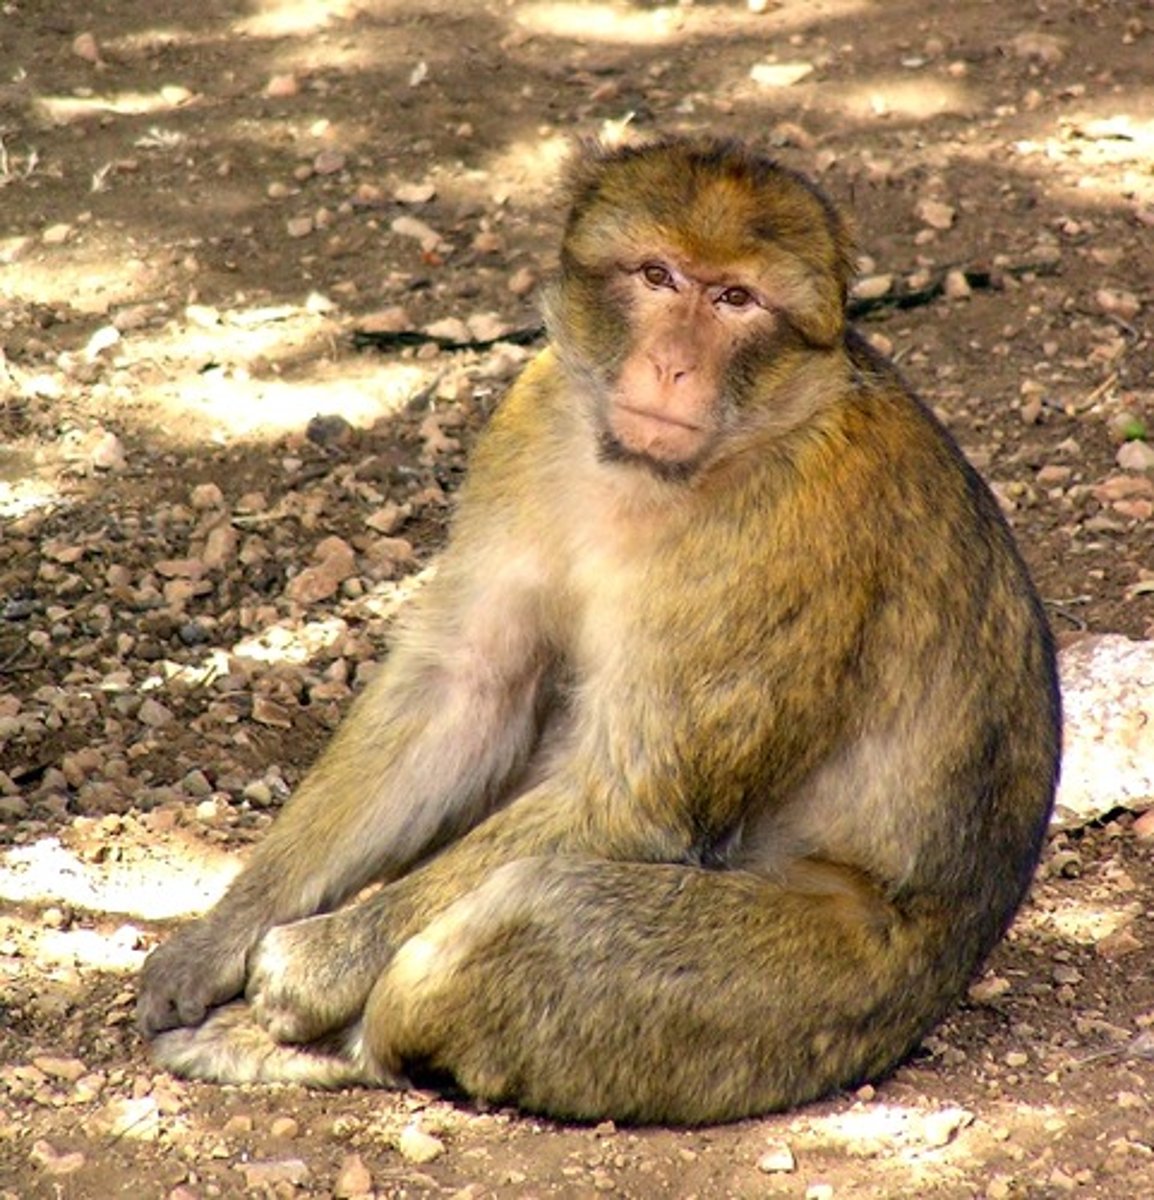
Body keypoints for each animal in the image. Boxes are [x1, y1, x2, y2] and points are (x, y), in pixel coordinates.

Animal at [136, 137, 1061, 1126]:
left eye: (735, 299)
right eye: (659, 277)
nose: (673, 367)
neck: (669, 473)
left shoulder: (797, 533)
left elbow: (631, 799)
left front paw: (316, 963)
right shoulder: (532, 414)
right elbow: (466, 690)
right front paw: (221, 936)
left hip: (831, 993)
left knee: (533, 914)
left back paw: (343, 1050)